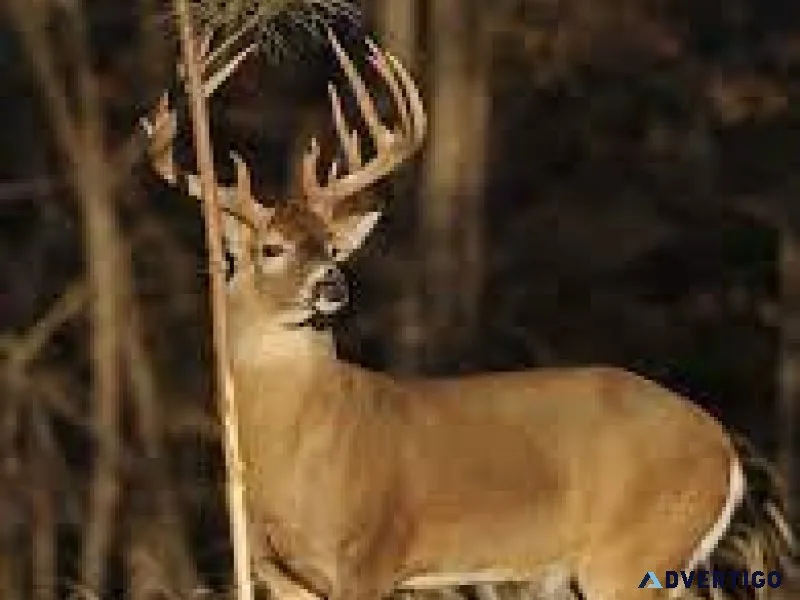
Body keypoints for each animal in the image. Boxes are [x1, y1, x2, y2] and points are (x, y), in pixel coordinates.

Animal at [141, 29, 795, 600]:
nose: (332, 283)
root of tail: (724, 448)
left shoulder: (370, 556)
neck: (290, 451)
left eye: (331, 247)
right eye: (271, 248)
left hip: (632, 554)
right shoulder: (275, 569)